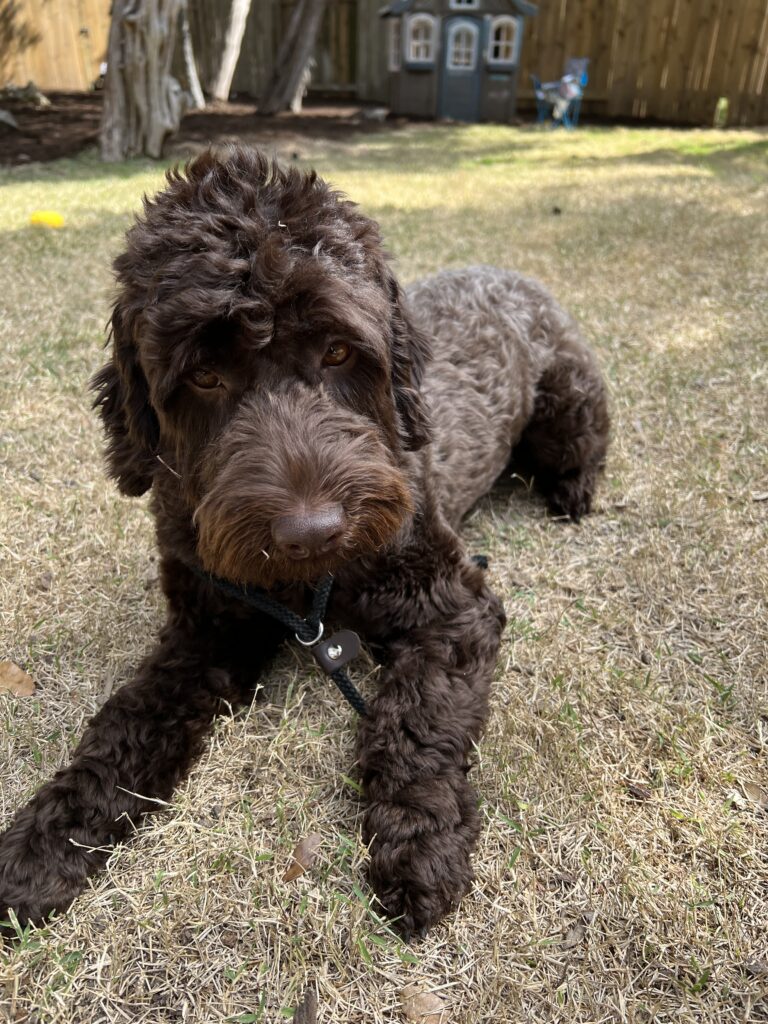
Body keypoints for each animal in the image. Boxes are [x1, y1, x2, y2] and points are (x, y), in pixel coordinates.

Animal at [0, 148, 610, 937]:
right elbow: (126, 725)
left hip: (569, 406)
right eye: (203, 374)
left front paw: (419, 838)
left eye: (339, 351)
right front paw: (47, 840)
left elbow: (417, 719)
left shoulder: (453, 606)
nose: (312, 531)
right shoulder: (204, 632)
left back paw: (572, 491)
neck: (305, 589)